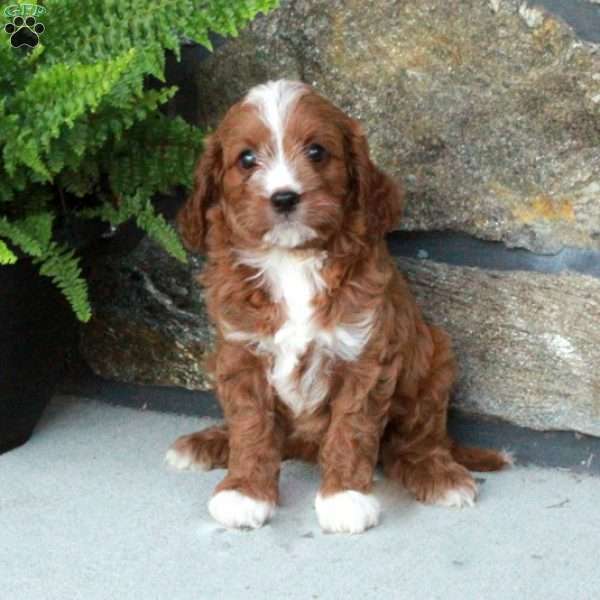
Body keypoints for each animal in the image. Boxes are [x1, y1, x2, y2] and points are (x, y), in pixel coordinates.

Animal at [165, 79, 510, 536]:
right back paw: (207, 442)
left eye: (316, 151)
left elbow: (353, 427)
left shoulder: (364, 355)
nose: (284, 198)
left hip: (434, 362)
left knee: (414, 441)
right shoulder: (240, 352)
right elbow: (251, 425)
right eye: (246, 159)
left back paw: (440, 475)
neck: (291, 259)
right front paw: (245, 491)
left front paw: (344, 497)